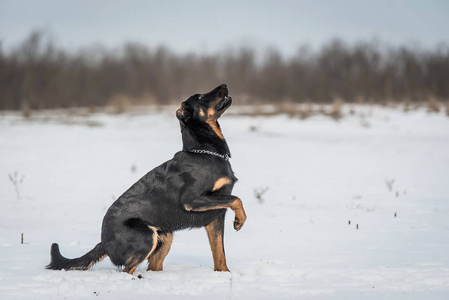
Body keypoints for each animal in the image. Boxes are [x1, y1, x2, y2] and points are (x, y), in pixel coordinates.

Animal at [46, 84, 245, 274]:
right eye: (201, 97)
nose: (224, 85)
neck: (205, 152)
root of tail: (103, 241)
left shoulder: (215, 218)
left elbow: (220, 255)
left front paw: (225, 274)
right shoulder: (193, 199)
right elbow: (236, 199)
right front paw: (240, 221)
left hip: (164, 238)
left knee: (151, 267)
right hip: (146, 237)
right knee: (127, 270)